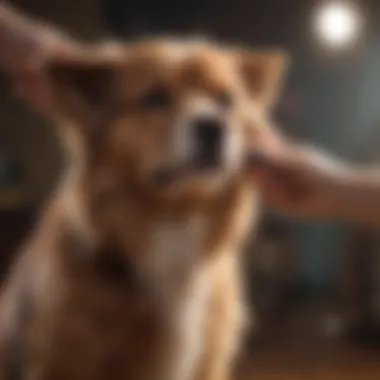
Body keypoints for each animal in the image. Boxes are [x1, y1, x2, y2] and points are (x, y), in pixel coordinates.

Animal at [0, 28, 286, 378]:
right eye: (155, 98)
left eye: (226, 99)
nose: (213, 127)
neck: (173, 217)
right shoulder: (62, 360)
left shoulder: (209, 361)